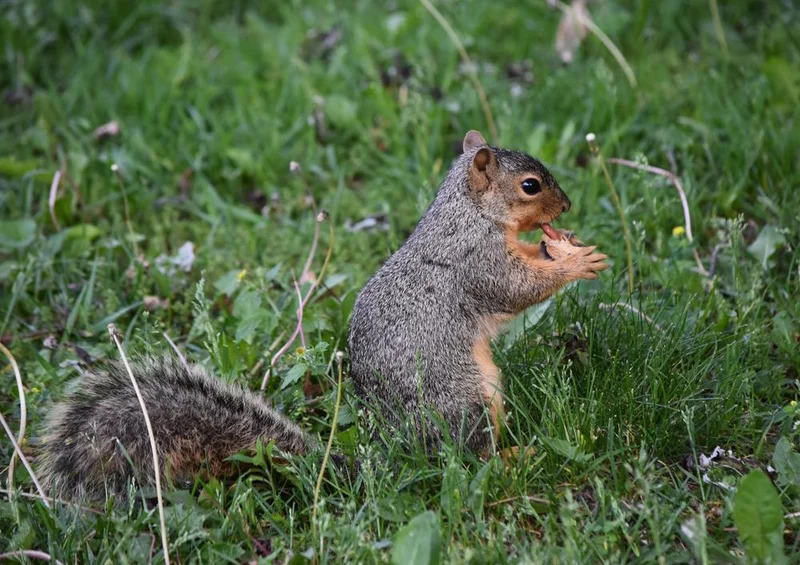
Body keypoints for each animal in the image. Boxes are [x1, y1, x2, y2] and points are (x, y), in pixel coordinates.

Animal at [348, 130, 608, 457]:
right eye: (530, 185)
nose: (567, 205)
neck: (473, 213)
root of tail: (398, 443)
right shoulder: (480, 259)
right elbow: (517, 288)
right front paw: (576, 263)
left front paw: (557, 245)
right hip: (466, 401)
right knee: (476, 456)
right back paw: (516, 455)